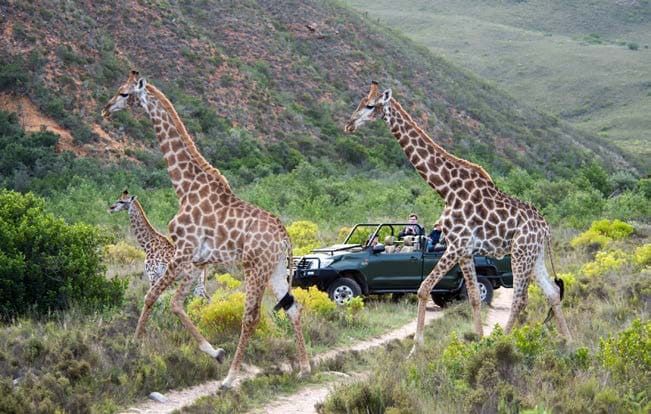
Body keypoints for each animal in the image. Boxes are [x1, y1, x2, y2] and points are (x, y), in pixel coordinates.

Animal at [102, 71, 310, 388]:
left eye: (124, 93)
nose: (105, 109)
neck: (184, 187)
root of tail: (286, 238)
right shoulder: (195, 261)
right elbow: (176, 304)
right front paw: (214, 352)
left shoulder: (182, 252)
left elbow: (151, 298)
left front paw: (132, 350)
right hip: (275, 269)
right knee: (293, 308)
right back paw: (304, 368)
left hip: (255, 268)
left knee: (251, 317)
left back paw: (230, 379)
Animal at [344, 82, 571, 355]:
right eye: (359, 102)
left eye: (370, 105)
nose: (349, 125)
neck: (446, 188)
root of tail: (546, 227)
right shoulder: (464, 251)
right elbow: (473, 296)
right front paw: (479, 340)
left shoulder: (455, 245)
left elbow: (423, 288)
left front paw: (415, 349)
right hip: (534, 255)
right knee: (552, 293)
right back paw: (571, 344)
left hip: (520, 253)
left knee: (520, 298)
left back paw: (504, 342)